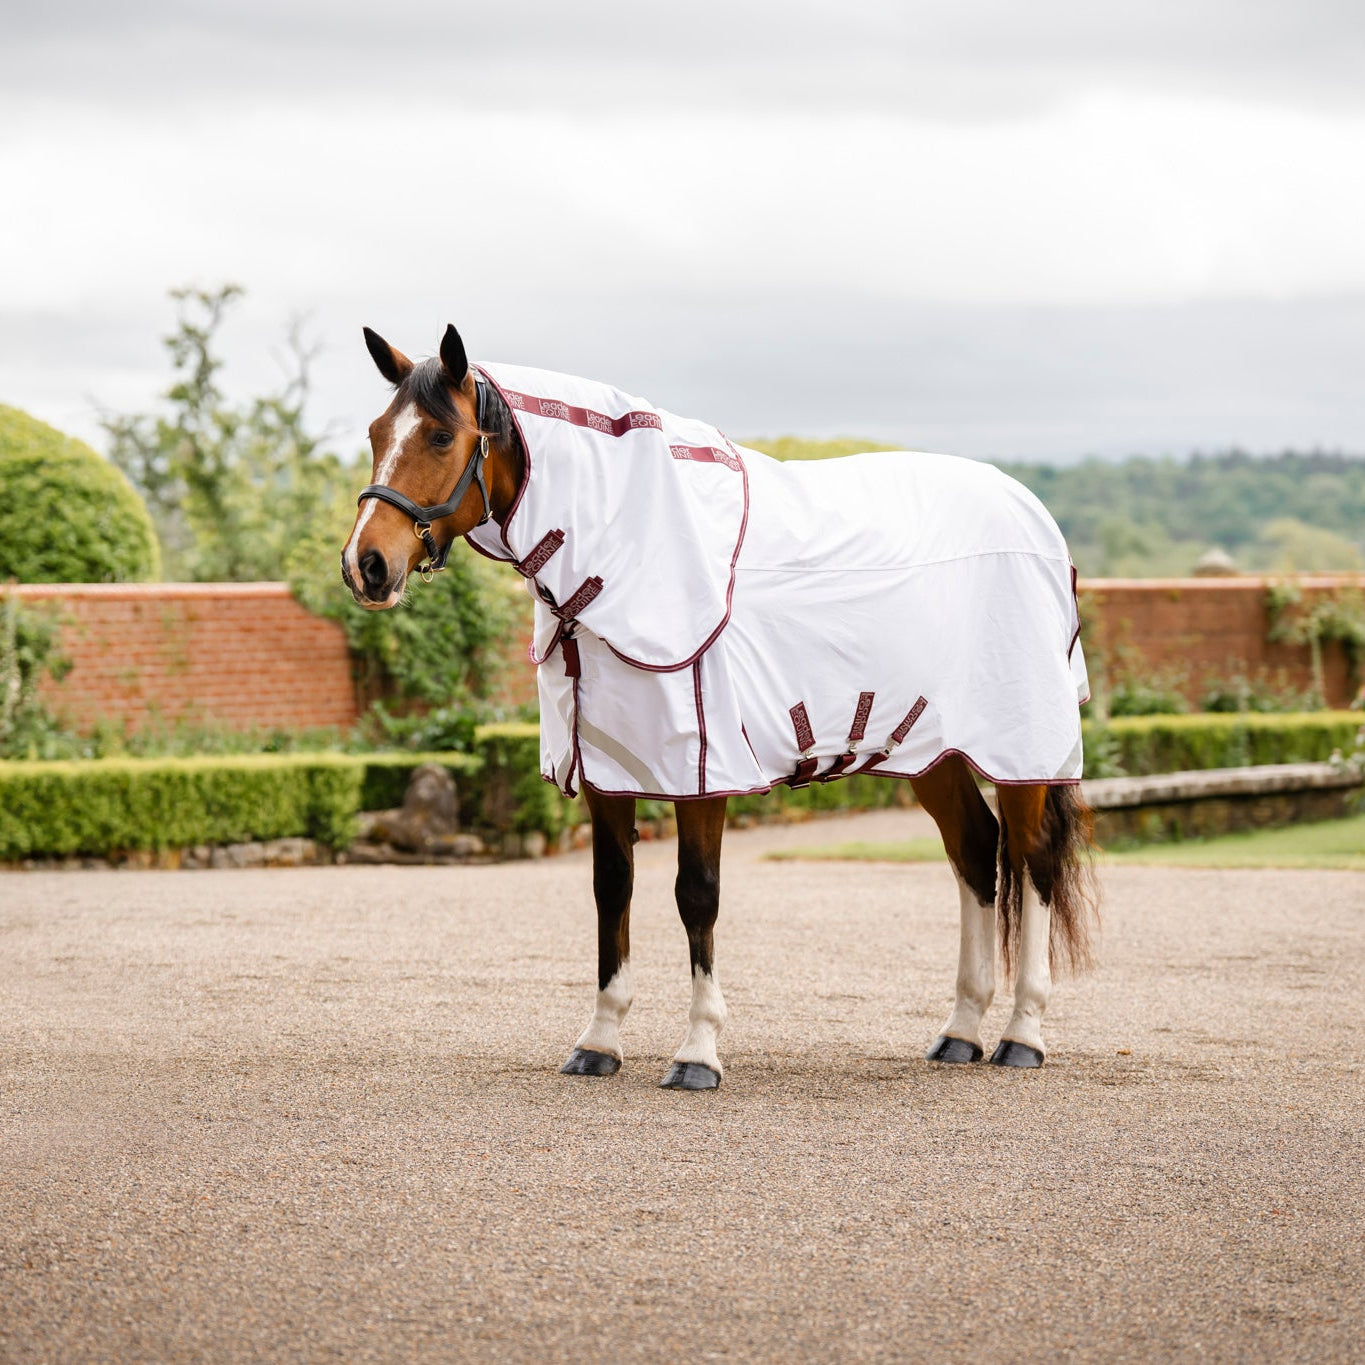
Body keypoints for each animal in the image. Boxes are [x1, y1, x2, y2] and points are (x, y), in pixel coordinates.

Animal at [342, 323, 1097, 1091]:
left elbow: (696, 893)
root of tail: (1035, 520)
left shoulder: (701, 772)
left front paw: (697, 1050)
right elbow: (612, 888)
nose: (365, 565)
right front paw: (599, 1041)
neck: (633, 546)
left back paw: (1021, 1034)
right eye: (376, 432)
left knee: (1030, 859)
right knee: (974, 852)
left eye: (440, 436)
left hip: (1022, 753)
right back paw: (960, 1031)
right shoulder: (609, 770)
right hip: (931, 750)